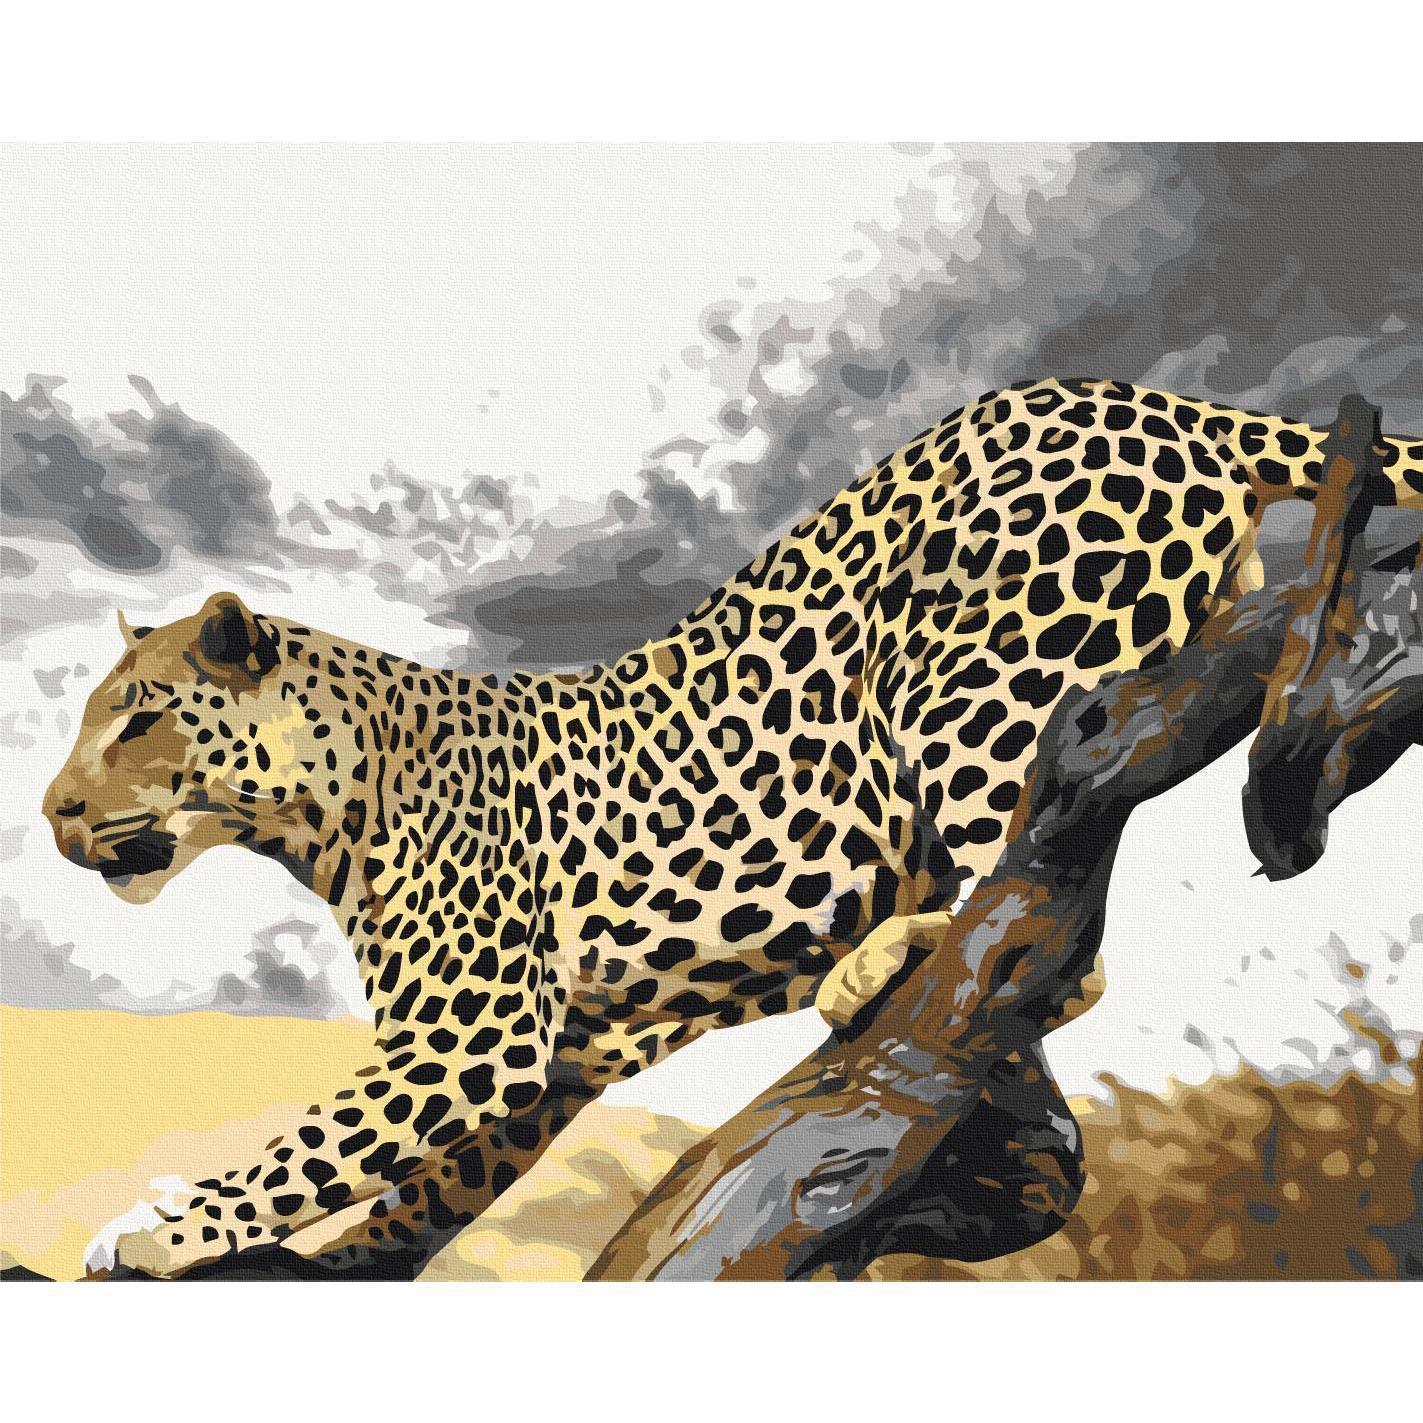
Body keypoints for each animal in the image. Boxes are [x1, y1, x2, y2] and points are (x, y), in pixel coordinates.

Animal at [43, 376, 1423, 1280]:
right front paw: (341, 1260)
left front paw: (161, 1228)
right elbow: (418, 1180)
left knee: (1050, 922)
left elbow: (312, 1141)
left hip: (975, 675)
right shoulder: (551, 1057)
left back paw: (881, 957)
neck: (323, 803)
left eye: (139, 718)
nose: (53, 815)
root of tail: (1149, 397)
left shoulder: (468, 1036)